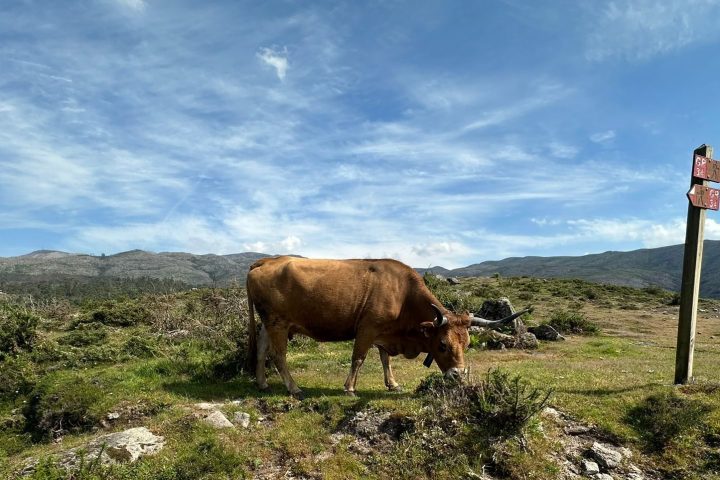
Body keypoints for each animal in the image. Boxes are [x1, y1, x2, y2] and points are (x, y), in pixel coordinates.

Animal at [246, 256, 529, 399]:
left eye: (468, 344)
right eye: (442, 344)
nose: (458, 375)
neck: (404, 295)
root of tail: (267, 260)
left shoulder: (384, 332)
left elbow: (385, 359)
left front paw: (392, 384)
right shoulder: (367, 328)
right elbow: (358, 358)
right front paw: (350, 388)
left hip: (268, 323)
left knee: (261, 350)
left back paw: (262, 383)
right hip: (278, 322)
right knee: (278, 355)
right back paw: (293, 387)